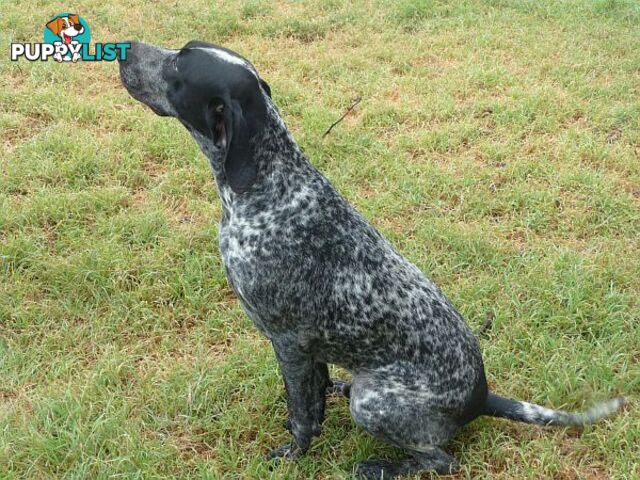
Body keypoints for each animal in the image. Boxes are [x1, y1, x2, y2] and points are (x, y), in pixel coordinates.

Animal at [117, 42, 624, 480]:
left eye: (178, 67)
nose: (124, 46)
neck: (271, 188)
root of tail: (480, 398)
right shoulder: (309, 351)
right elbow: (313, 403)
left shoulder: (288, 343)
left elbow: (302, 416)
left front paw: (293, 455)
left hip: (372, 400)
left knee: (441, 460)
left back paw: (382, 466)